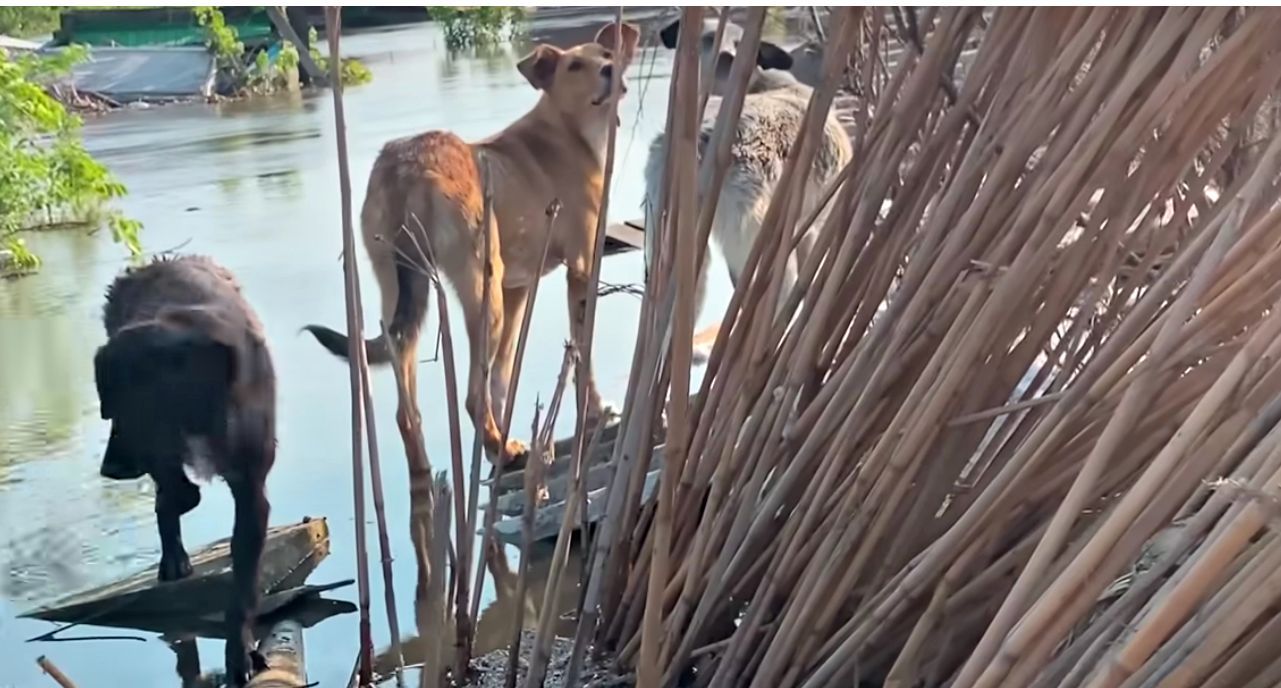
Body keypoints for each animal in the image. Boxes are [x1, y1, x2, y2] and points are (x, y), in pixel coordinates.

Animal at [94, 254, 275, 681]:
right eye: (110, 406)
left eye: (132, 411)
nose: (110, 469)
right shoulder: (161, 448)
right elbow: (174, 493)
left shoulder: (251, 489)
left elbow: (243, 588)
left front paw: (239, 652)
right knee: (173, 495)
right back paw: (174, 554)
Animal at [304, 21, 635, 463]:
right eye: (575, 66)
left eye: (607, 53)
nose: (610, 70)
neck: (568, 131)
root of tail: (408, 167)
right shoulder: (580, 270)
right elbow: (581, 356)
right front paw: (597, 413)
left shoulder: (518, 290)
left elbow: (503, 375)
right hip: (482, 289)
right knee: (471, 397)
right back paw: (504, 450)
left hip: (404, 294)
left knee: (409, 411)